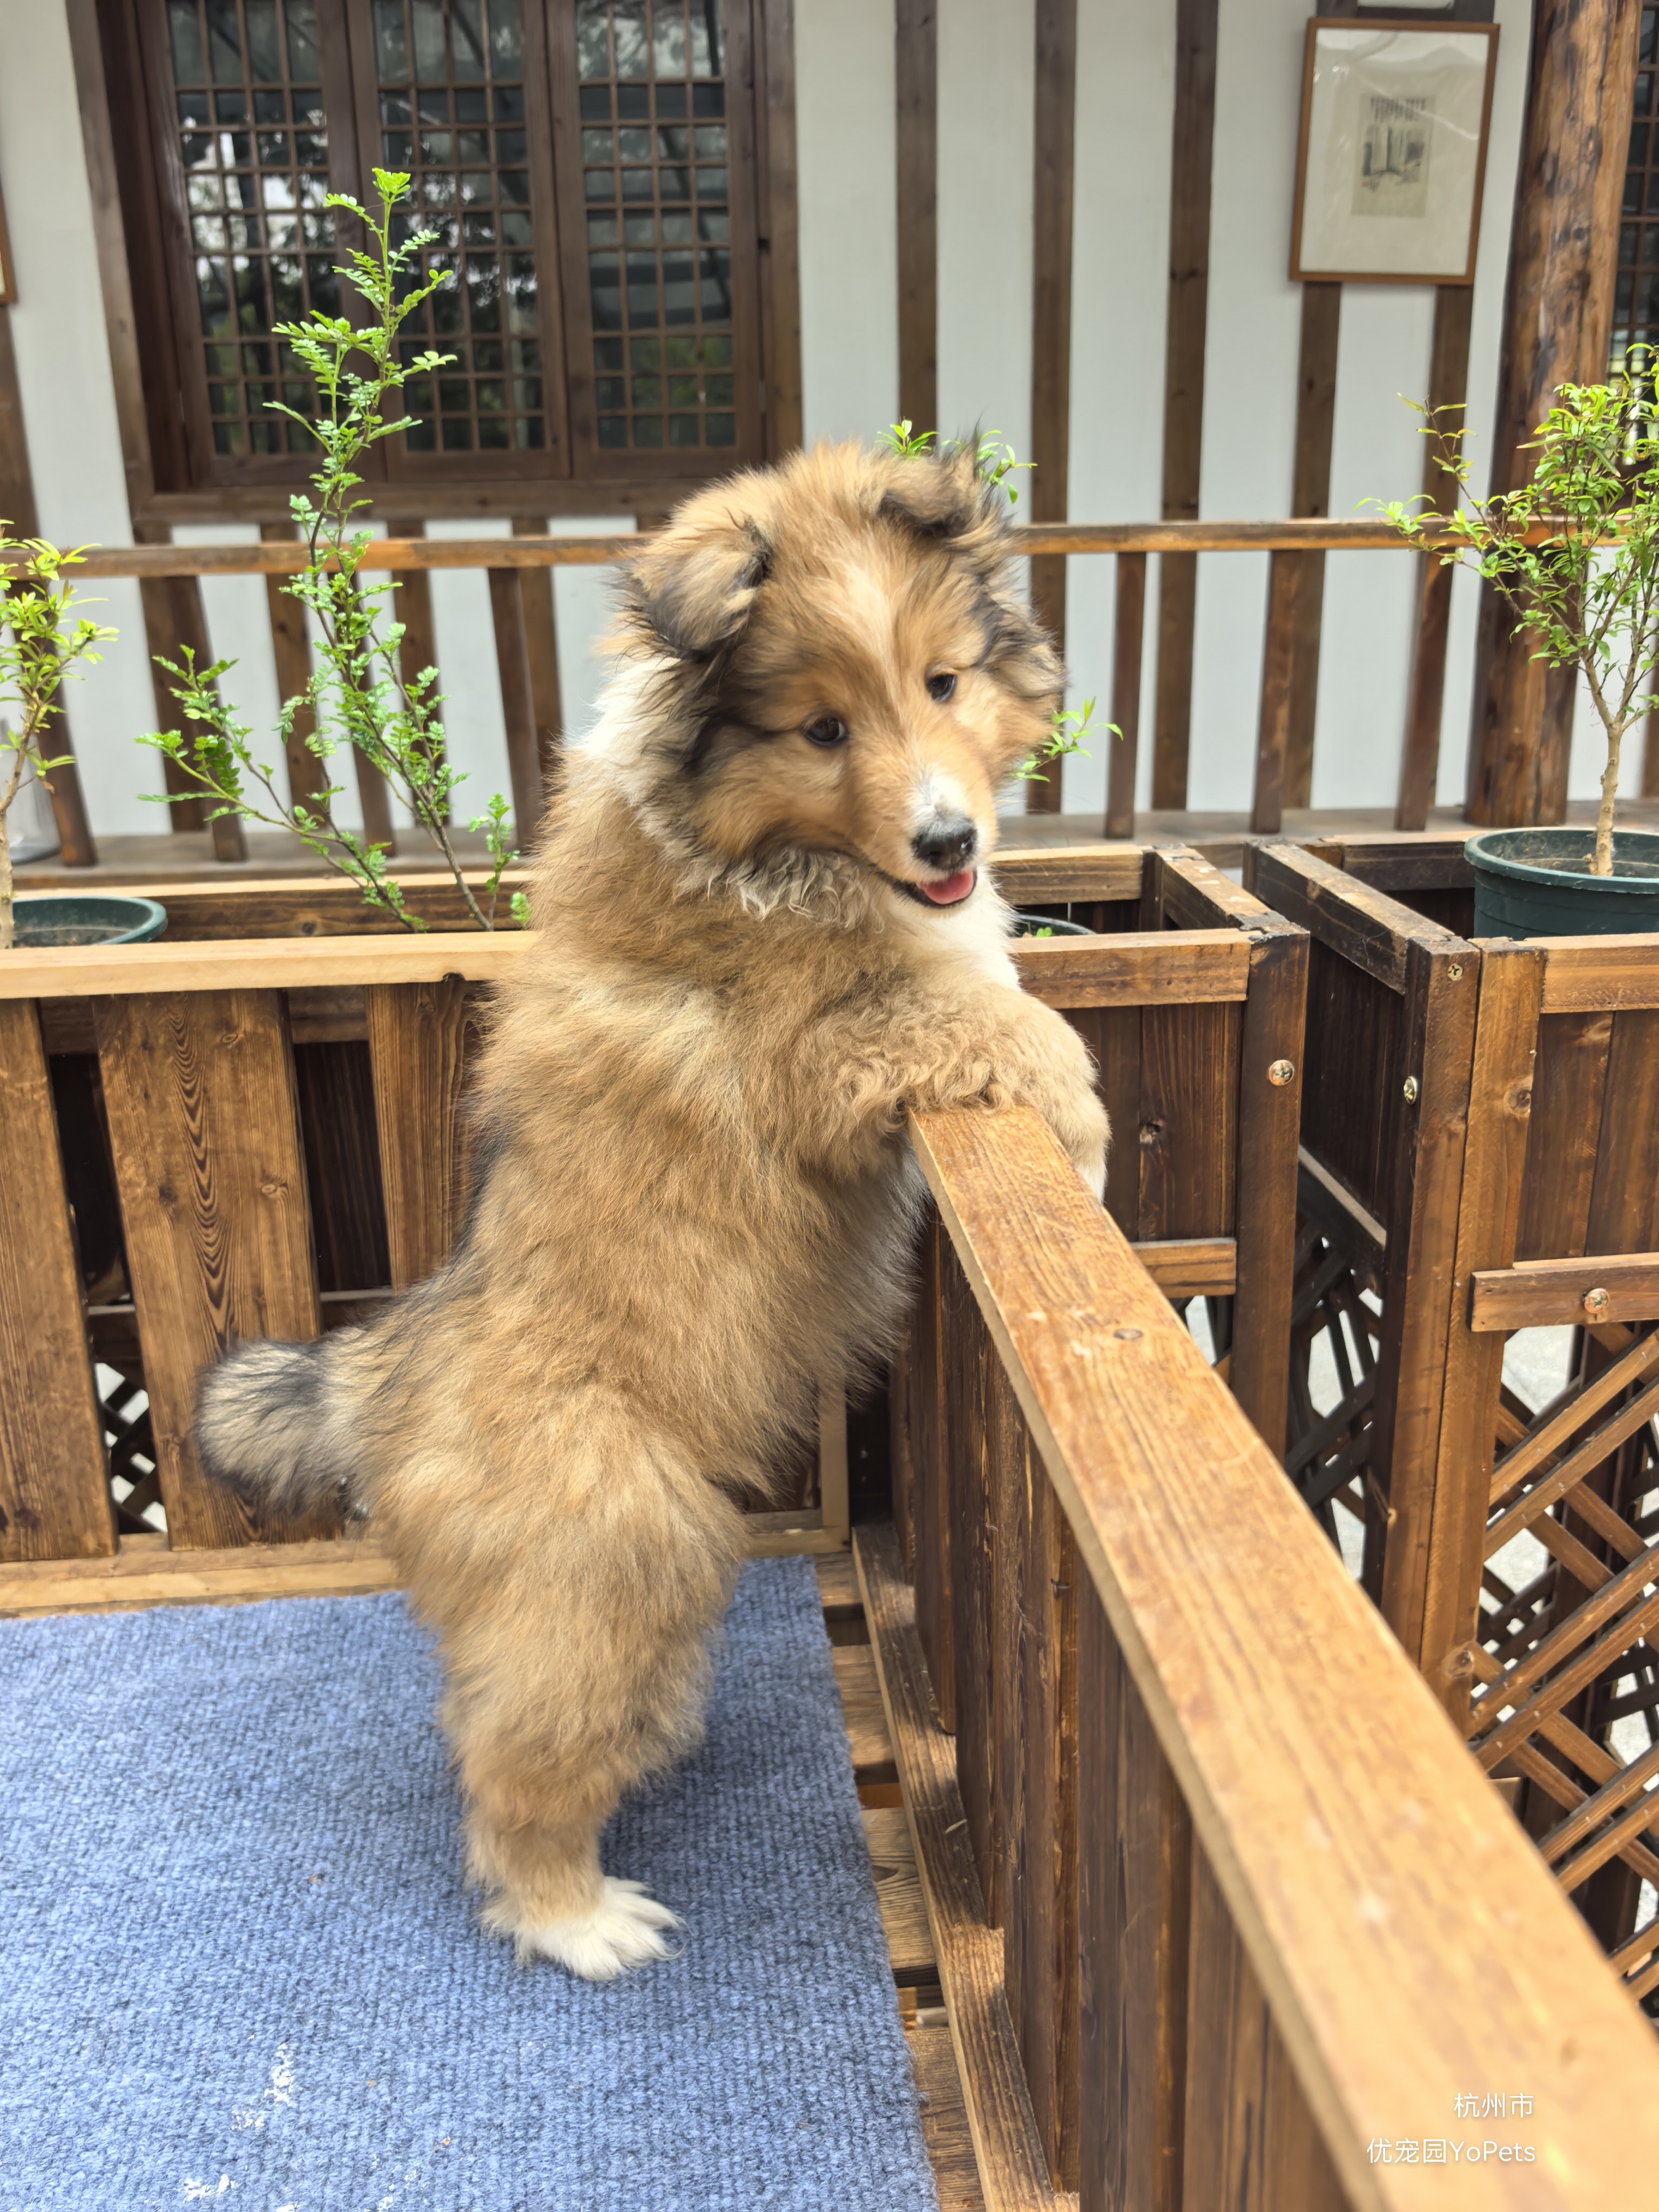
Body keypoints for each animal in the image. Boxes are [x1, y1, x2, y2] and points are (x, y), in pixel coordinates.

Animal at [195, 437, 1109, 1980]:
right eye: (820, 729)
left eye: (940, 682)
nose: (948, 838)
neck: (760, 854)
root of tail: (383, 1374)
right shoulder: (818, 1051)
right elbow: (974, 1017)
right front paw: (1085, 1127)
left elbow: (983, 984)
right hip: (623, 1547)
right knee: (514, 1776)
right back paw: (578, 1917)